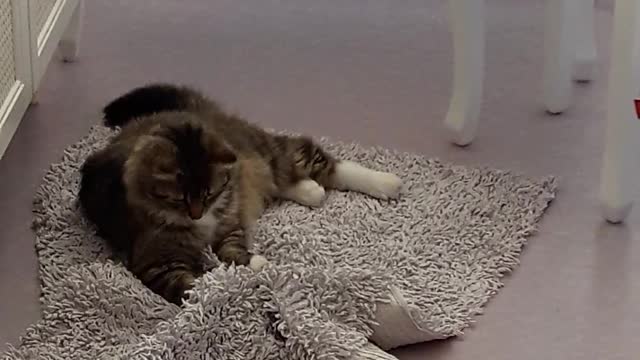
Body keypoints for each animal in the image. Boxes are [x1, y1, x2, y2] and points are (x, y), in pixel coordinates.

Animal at [77, 83, 402, 304]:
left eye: (208, 194)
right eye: (179, 199)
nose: (198, 214)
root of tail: (195, 111)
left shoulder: (228, 225)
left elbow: (231, 251)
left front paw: (250, 265)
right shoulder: (155, 263)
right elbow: (196, 282)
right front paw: (236, 277)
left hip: (268, 150)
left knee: (321, 161)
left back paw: (386, 182)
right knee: (288, 180)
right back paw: (310, 190)